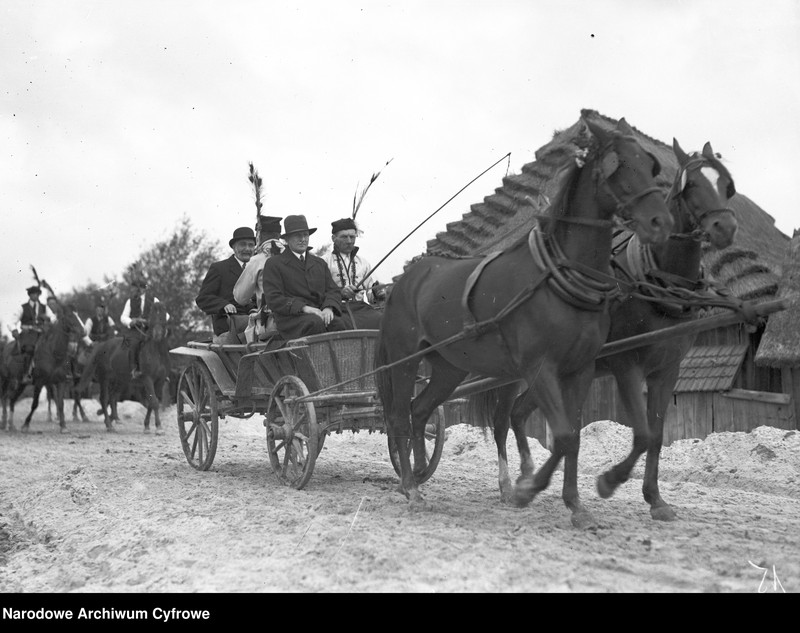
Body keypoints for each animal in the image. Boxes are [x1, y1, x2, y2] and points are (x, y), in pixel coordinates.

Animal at [0, 302, 86, 432]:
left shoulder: (61, 382)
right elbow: (34, 404)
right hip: (7, 380)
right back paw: (4, 423)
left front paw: (63, 426)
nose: (83, 331)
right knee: (5, 397)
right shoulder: (40, 382)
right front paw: (26, 424)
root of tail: (6, 348)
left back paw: (11, 425)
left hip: (21, 384)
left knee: (12, 399)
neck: (53, 354)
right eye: (69, 316)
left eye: (78, 315)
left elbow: (60, 404)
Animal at [79, 300, 170, 430]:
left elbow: (152, 402)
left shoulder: (160, 381)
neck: (156, 351)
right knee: (104, 399)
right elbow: (154, 402)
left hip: (119, 381)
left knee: (112, 398)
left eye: (163, 315)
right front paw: (158, 427)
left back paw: (112, 419)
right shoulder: (147, 379)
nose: (157, 334)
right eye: (152, 316)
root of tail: (102, 345)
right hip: (104, 379)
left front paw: (147, 425)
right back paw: (109, 425)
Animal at [376, 115, 676, 528]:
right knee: (399, 418)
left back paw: (420, 474)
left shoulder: (580, 369)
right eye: (620, 167)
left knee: (421, 410)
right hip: (404, 361)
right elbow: (562, 435)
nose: (661, 223)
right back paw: (412, 487)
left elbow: (576, 437)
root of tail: (405, 280)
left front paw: (577, 503)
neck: (557, 277)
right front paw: (527, 488)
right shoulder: (540, 367)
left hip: (450, 366)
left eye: (650, 165)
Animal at [468, 141, 736, 520]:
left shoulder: (667, 370)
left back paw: (526, 475)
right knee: (502, 419)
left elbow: (656, 436)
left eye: (727, 186)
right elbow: (641, 434)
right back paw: (508, 485)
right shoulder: (627, 365)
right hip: (510, 372)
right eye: (693, 185)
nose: (725, 227)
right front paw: (609, 481)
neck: (656, 283)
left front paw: (656, 499)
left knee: (519, 414)